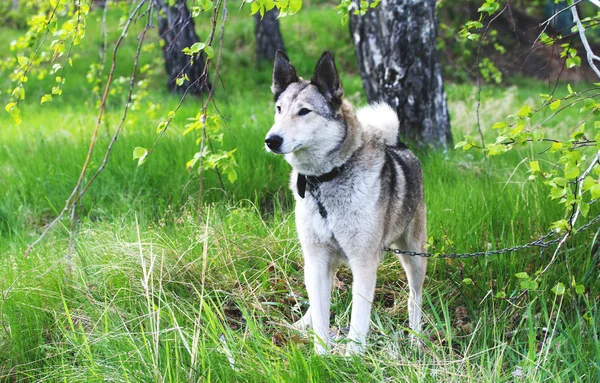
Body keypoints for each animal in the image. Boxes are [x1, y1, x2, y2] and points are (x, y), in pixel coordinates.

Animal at [264, 51, 426, 356]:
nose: (271, 140)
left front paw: (352, 358)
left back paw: (416, 338)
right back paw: (301, 323)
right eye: (279, 109)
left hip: (414, 256)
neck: (324, 181)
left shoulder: (364, 262)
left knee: (415, 298)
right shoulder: (316, 259)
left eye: (305, 111)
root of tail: (399, 144)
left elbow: (359, 319)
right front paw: (320, 356)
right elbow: (320, 315)